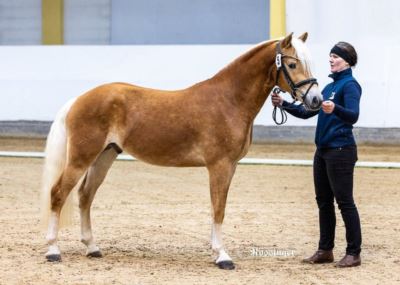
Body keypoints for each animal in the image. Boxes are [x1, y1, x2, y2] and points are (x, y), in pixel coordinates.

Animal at [40, 32, 322, 268]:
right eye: (293, 64)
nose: (316, 100)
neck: (229, 100)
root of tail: (78, 100)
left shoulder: (230, 167)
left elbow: (218, 206)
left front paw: (216, 251)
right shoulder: (219, 166)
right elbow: (218, 208)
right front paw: (222, 256)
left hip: (104, 156)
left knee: (85, 196)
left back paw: (92, 248)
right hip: (81, 158)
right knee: (58, 193)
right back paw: (53, 250)